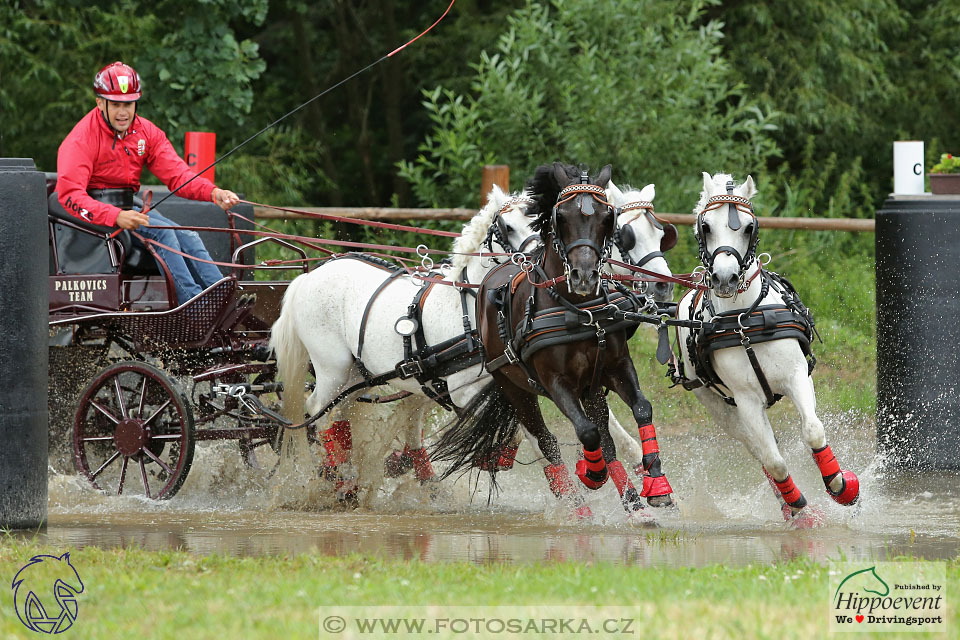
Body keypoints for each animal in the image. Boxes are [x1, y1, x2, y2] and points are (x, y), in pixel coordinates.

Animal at [270, 188, 540, 502]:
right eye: (508, 227)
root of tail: (307, 277)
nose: (537, 262)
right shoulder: (464, 391)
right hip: (332, 369)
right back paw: (338, 479)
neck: (469, 306)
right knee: (318, 412)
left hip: (358, 374)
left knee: (341, 416)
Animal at [432, 162, 672, 516]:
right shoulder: (555, 382)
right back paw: (577, 504)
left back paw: (630, 502)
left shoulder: (614, 368)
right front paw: (591, 474)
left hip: (589, 387)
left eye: (607, 217)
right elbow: (586, 432)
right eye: (562, 217)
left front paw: (655, 483)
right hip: (515, 388)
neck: (580, 308)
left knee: (604, 435)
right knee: (547, 441)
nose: (584, 275)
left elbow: (640, 409)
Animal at [672, 170, 860, 524]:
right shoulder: (746, 401)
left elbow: (813, 430)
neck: (744, 319)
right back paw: (791, 506)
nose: (725, 279)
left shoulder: (798, 376)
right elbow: (773, 460)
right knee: (758, 448)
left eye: (748, 227)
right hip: (719, 406)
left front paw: (841, 485)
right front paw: (797, 504)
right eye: (706, 227)